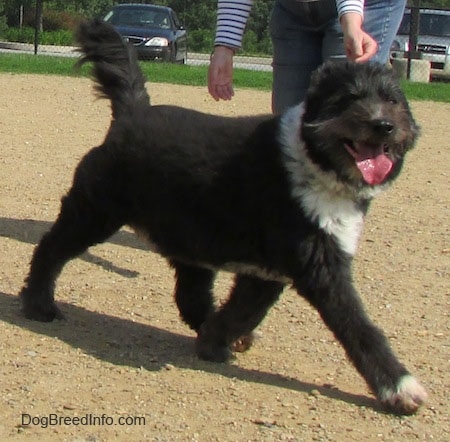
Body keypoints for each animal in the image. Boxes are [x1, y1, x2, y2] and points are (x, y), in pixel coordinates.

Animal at [20, 19, 428, 414]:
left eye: (392, 100)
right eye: (350, 98)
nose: (384, 125)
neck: (312, 160)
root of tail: (133, 111)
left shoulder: (269, 271)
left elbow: (243, 311)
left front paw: (215, 340)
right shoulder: (319, 266)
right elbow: (358, 326)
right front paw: (399, 387)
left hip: (189, 237)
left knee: (189, 294)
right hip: (95, 212)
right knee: (50, 249)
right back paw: (39, 304)